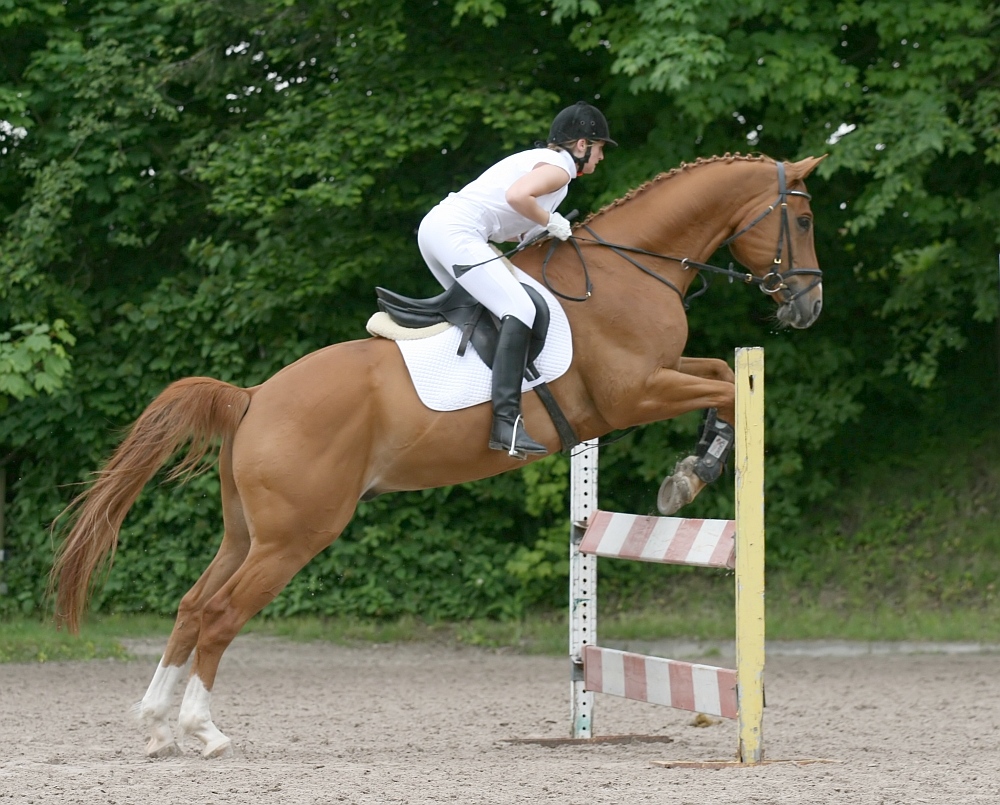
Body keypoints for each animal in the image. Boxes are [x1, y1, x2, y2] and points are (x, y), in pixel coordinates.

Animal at [50, 154, 824, 756]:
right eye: (805, 221)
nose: (807, 307)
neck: (630, 269)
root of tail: (252, 396)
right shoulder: (635, 391)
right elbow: (726, 388)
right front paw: (693, 473)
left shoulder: (657, 379)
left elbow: (719, 376)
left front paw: (690, 472)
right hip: (295, 535)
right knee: (218, 614)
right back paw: (202, 732)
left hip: (248, 532)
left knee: (190, 607)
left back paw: (157, 727)